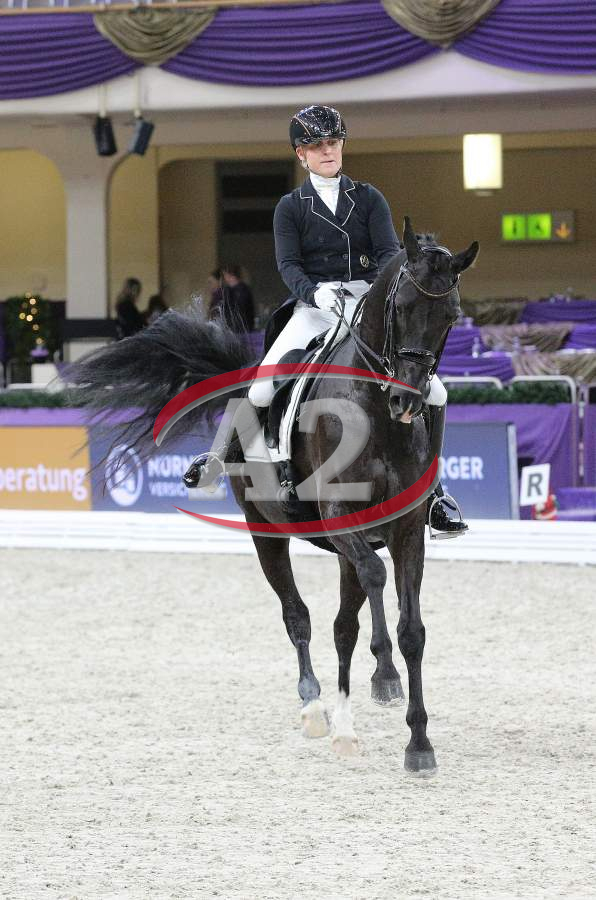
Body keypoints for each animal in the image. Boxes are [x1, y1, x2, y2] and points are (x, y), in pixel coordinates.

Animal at [69, 217, 478, 774]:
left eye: (450, 315)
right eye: (400, 309)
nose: (407, 400)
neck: (373, 409)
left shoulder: (407, 529)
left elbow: (410, 629)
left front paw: (417, 741)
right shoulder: (341, 518)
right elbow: (371, 589)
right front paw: (385, 678)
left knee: (342, 624)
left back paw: (348, 711)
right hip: (266, 533)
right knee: (298, 616)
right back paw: (315, 706)